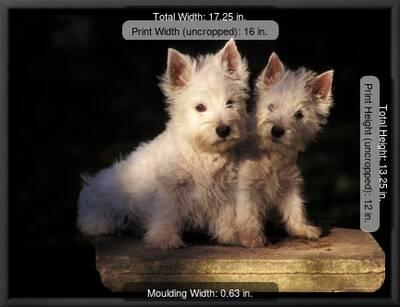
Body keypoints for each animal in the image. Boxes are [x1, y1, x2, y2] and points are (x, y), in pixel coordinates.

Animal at [76, 39, 248, 250]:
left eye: (230, 102)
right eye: (200, 107)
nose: (223, 130)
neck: (203, 153)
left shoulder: (225, 188)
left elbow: (227, 214)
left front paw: (231, 235)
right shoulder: (169, 190)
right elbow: (167, 213)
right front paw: (165, 240)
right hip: (105, 199)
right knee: (93, 220)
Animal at [236, 52, 332, 248]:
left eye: (299, 115)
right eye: (272, 106)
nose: (277, 130)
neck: (273, 155)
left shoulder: (289, 182)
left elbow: (295, 206)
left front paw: (303, 228)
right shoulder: (247, 184)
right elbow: (248, 212)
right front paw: (252, 238)